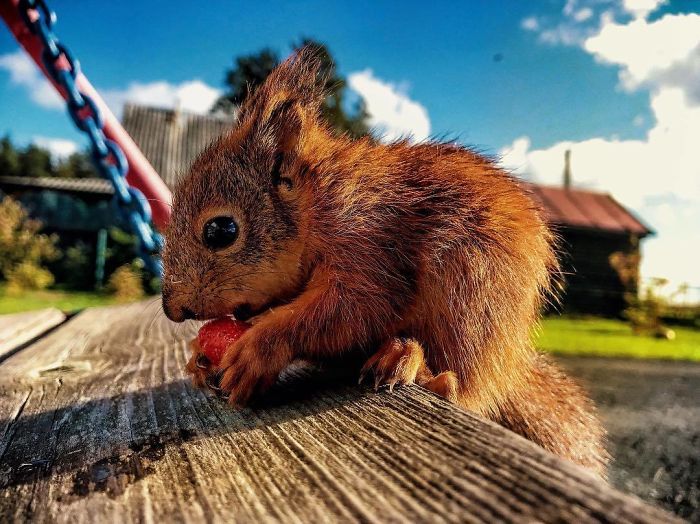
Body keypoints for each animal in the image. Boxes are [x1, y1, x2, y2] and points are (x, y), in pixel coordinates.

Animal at [161, 47, 608, 476]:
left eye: (221, 230)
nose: (171, 308)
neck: (316, 206)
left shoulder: (371, 243)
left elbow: (354, 309)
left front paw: (259, 347)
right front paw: (200, 358)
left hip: (472, 297)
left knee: (464, 386)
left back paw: (419, 368)